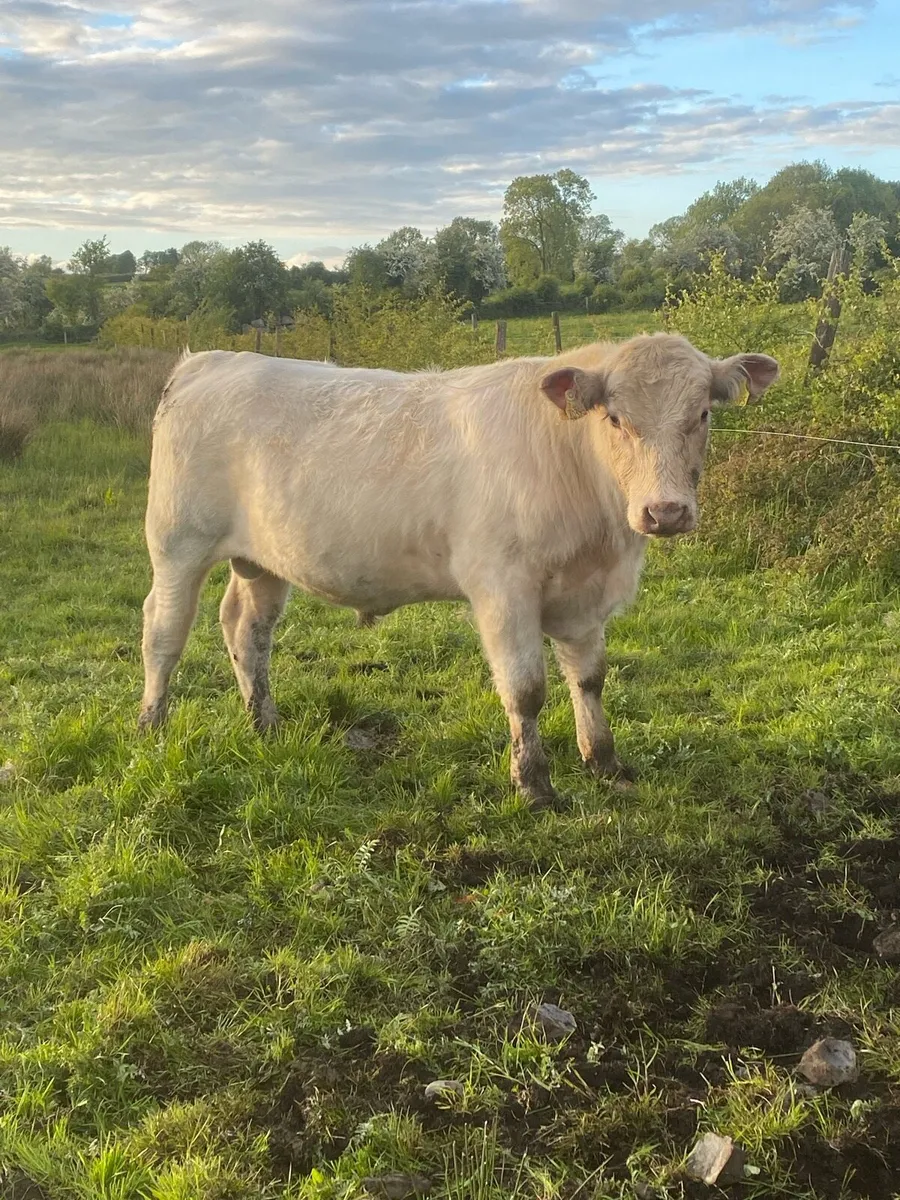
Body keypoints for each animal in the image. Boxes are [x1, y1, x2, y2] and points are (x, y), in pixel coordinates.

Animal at [139, 333, 778, 808]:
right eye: (616, 419)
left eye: (702, 414)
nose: (664, 511)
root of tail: (208, 361)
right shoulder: (502, 587)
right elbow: (526, 690)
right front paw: (535, 786)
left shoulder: (585, 596)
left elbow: (590, 678)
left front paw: (605, 761)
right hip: (176, 542)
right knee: (163, 632)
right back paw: (152, 724)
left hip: (263, 560)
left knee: (246, 629)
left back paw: (264, 722)